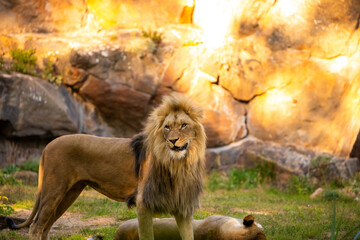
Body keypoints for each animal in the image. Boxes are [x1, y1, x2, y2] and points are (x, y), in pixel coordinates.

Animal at [7, 94, 207, 240]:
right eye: (167, 127)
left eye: (184, 125)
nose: (173, 141)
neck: (178, 165)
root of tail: (48, 145)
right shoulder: (143, 204)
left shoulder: (183, 209)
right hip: (53, 190)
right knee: (36, 227)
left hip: (69, 194)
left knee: (45, 228)